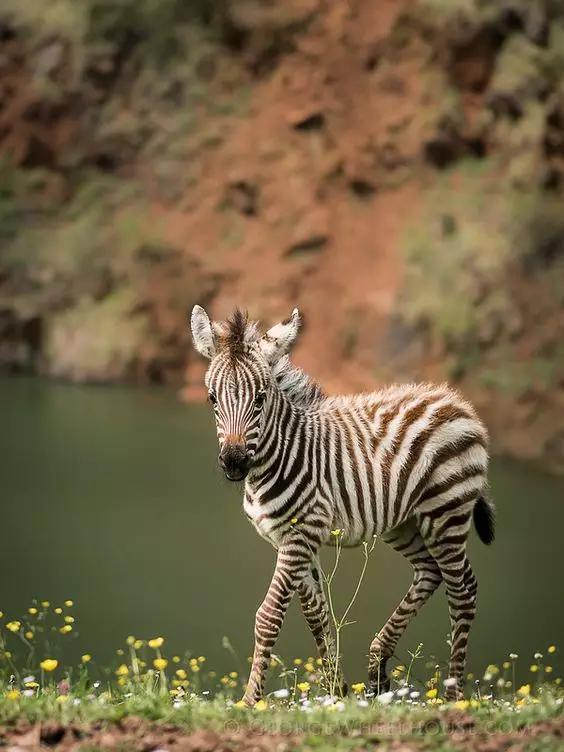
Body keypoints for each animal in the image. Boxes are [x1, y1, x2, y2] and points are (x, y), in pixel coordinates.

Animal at [189, 304, 494, 704]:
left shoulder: (301, 534)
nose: (234, 462)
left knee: (463, 590)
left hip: (446, 513)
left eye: (260, 398)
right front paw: (336, 692)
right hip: (405, 523)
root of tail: (456, 401)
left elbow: (269, 616)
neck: (283, 453)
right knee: (430, 572)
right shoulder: (290, 539)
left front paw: (250, 701)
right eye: (212, 398)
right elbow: (316, 615)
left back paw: (454, 692)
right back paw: (378, 668)